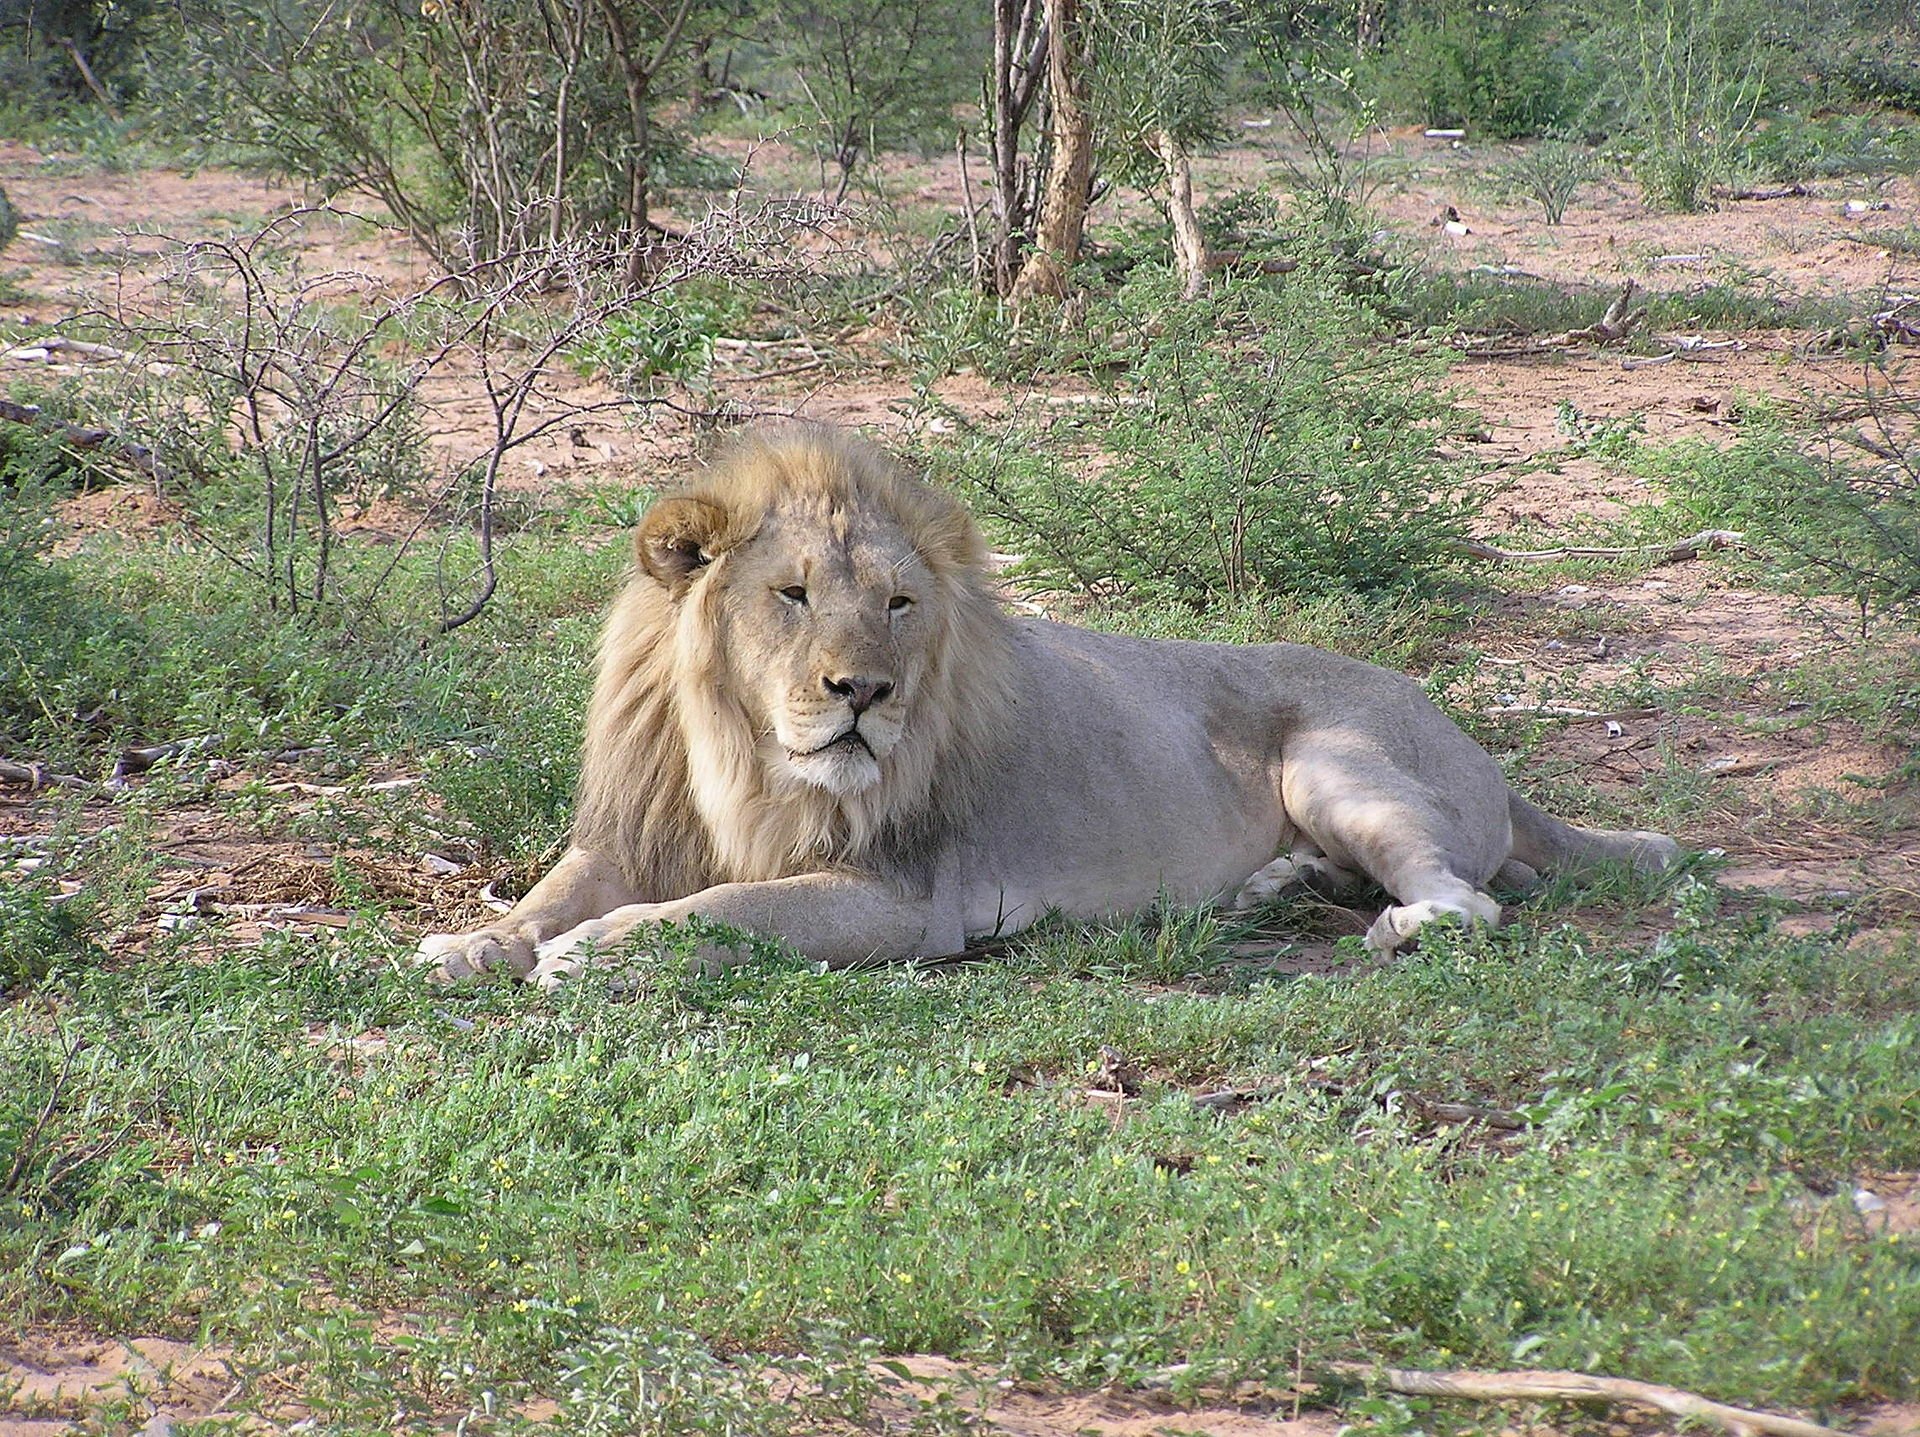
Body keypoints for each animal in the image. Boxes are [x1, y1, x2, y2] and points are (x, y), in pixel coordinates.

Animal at [418, 425, 1678, 989]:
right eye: (791, 595)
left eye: (899, 604)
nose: (862, 692)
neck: (740, 753)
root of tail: (1477, 742)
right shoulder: (635, 831)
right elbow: (550, 892)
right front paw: (474, 941)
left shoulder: (904, 901)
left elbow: (723, 910)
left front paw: (591, 952)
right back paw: (1276, 886)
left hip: (1336, 759)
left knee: (1473, 900)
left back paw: (1393, 922)